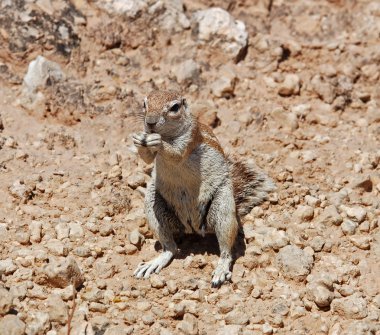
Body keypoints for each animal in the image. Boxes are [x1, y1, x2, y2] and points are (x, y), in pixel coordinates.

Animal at [132, 89, 274, 286]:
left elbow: (176, 153)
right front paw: (139, 140)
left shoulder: (191, 137)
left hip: (222, 209)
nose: (150, 122)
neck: (168, 134)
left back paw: (221, 269)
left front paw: (157, 142)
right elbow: (146, 159)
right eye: (145, 104)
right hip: (153, 205)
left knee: (226, 251)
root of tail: (193, 228)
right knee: (170, 248)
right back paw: (155, 262)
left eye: (175, 107)